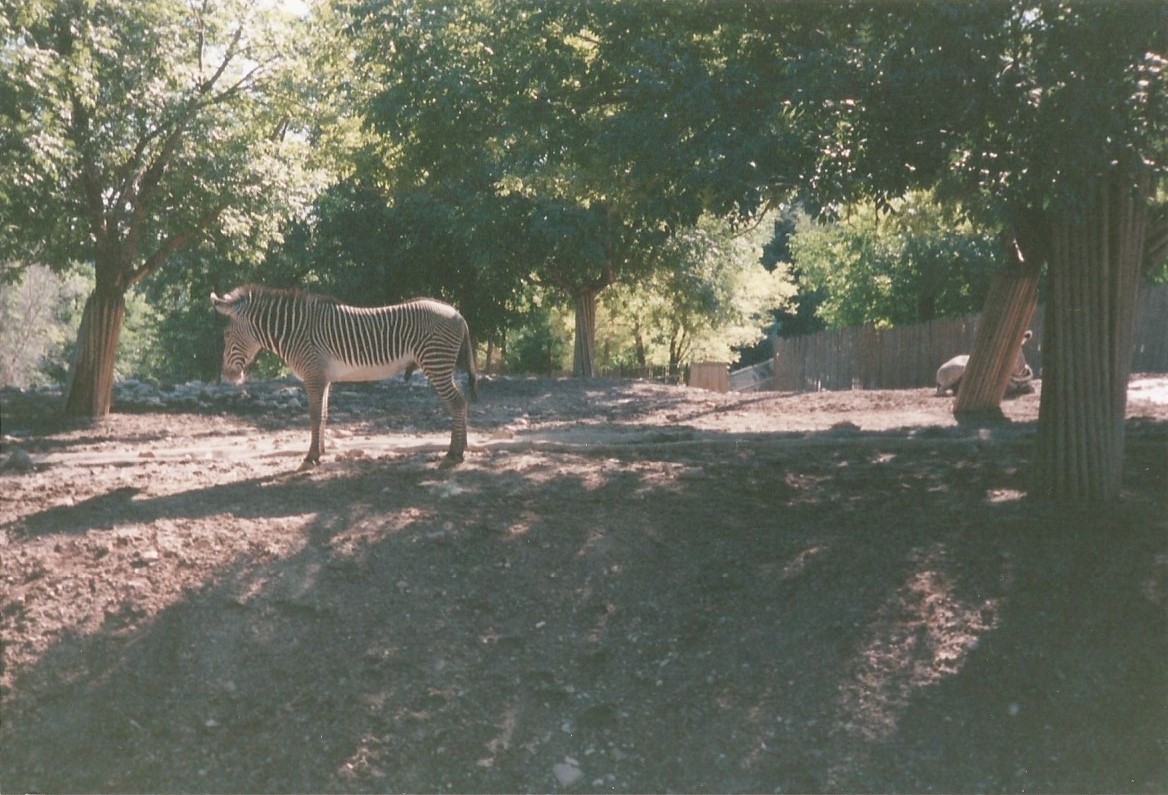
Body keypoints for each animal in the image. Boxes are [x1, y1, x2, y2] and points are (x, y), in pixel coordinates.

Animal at [211, 285, 477, 468]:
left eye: (226, 335)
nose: (227, 376)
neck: (295, 332)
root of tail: (458, 314)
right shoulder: (323, 377)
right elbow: (324, 415)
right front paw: (321, 452)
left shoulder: (313, 376)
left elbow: (315, 416)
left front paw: (311, 457)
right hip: (441, 364)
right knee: (462, 400)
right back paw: (462, 446)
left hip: (436, 362)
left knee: (457, 402)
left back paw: (453, 453)